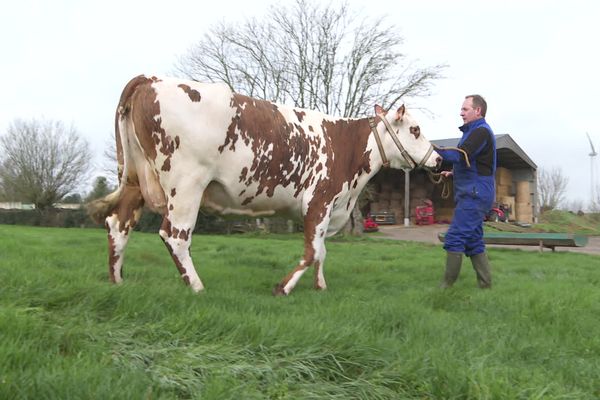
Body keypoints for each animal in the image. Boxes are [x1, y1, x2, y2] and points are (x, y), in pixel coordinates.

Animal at [86, 75, 438, 296]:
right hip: (186, 184)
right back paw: (197, 287)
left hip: (136, 178)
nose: (437, 159)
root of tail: (151, 79)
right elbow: (313, 251)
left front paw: (320, 287)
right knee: (175, 236)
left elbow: (322, 251)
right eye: (416, 130)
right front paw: (283, 287)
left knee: (118, 223)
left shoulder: (329, 209)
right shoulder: (320, 200)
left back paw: (116, 280)